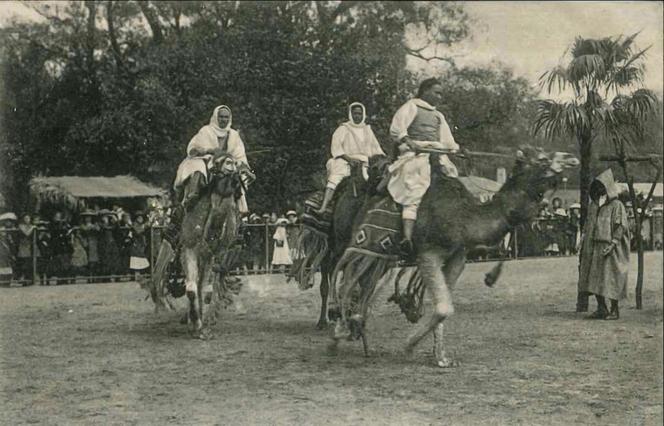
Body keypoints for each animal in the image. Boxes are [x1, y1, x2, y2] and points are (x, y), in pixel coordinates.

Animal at [330, 147, 580, 366]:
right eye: (542, 158)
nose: (572, 158)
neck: (465, 218)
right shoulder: (428, 253)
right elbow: (443, 307)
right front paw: (409, 346)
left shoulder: (457, 257)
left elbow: (443, 307)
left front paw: (441, 357)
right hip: (357, 243)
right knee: (345, 278)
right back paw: (339, 333)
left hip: (384, 255)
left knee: (365, 284)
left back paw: (356, 331)